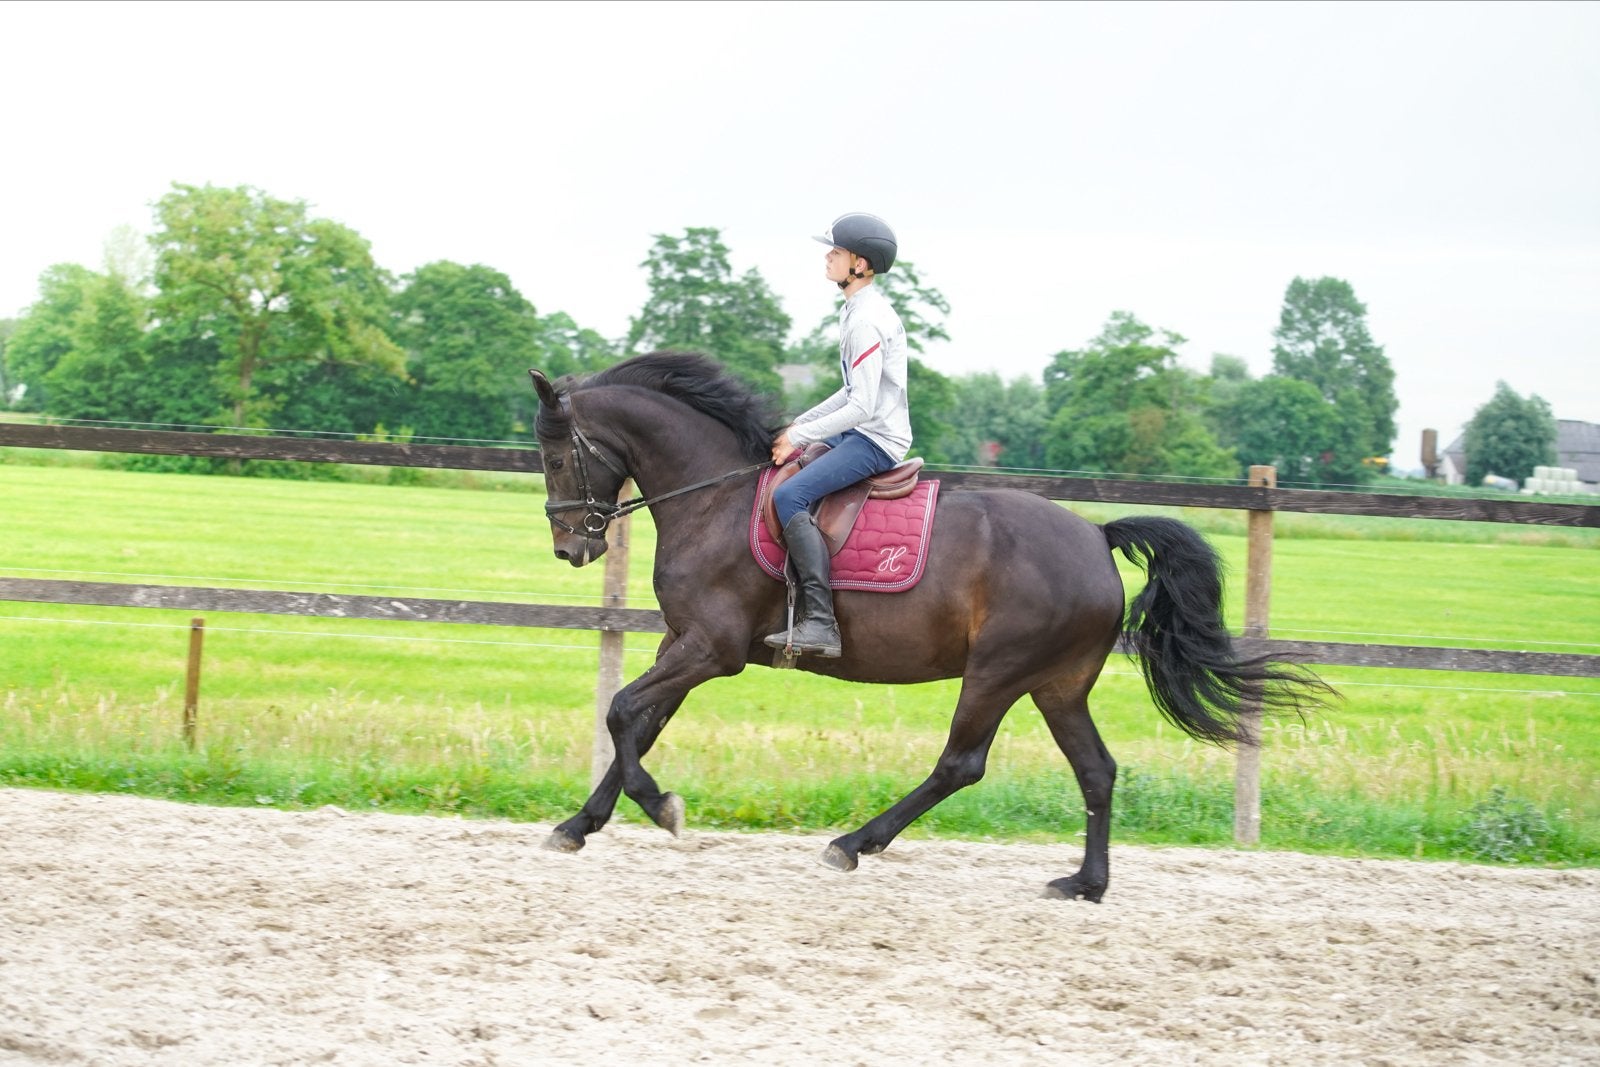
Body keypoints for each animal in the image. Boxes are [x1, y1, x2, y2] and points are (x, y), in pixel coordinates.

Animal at [529, 352, 1329, 901]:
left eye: (557, 453)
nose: (571, 547)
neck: (712, 499)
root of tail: (1097, 537)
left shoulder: (710, 649)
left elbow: (622, 710)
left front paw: (662, 807)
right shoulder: (684, 643)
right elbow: (640, 721)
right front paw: (579, 825)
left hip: (998, 671)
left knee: (961, 763)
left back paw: (854, 842)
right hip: (1058, 684)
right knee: (1095, 768)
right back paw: (1085, 882)